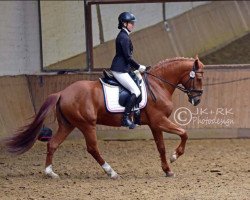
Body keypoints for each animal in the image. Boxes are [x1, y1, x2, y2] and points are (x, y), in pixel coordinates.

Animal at [4, 56, 203, 178]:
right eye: (199, 78)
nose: (197, 99)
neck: (158, 84)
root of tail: (62, 92)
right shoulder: (159, 120)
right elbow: (184, 133)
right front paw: (175, 156)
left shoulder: (155, 124)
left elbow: (161, 147)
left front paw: (168, 170)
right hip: (87, 125)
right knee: (92, 148)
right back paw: (111, 172)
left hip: (68, 124)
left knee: (52, 144)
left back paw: (50, 173)